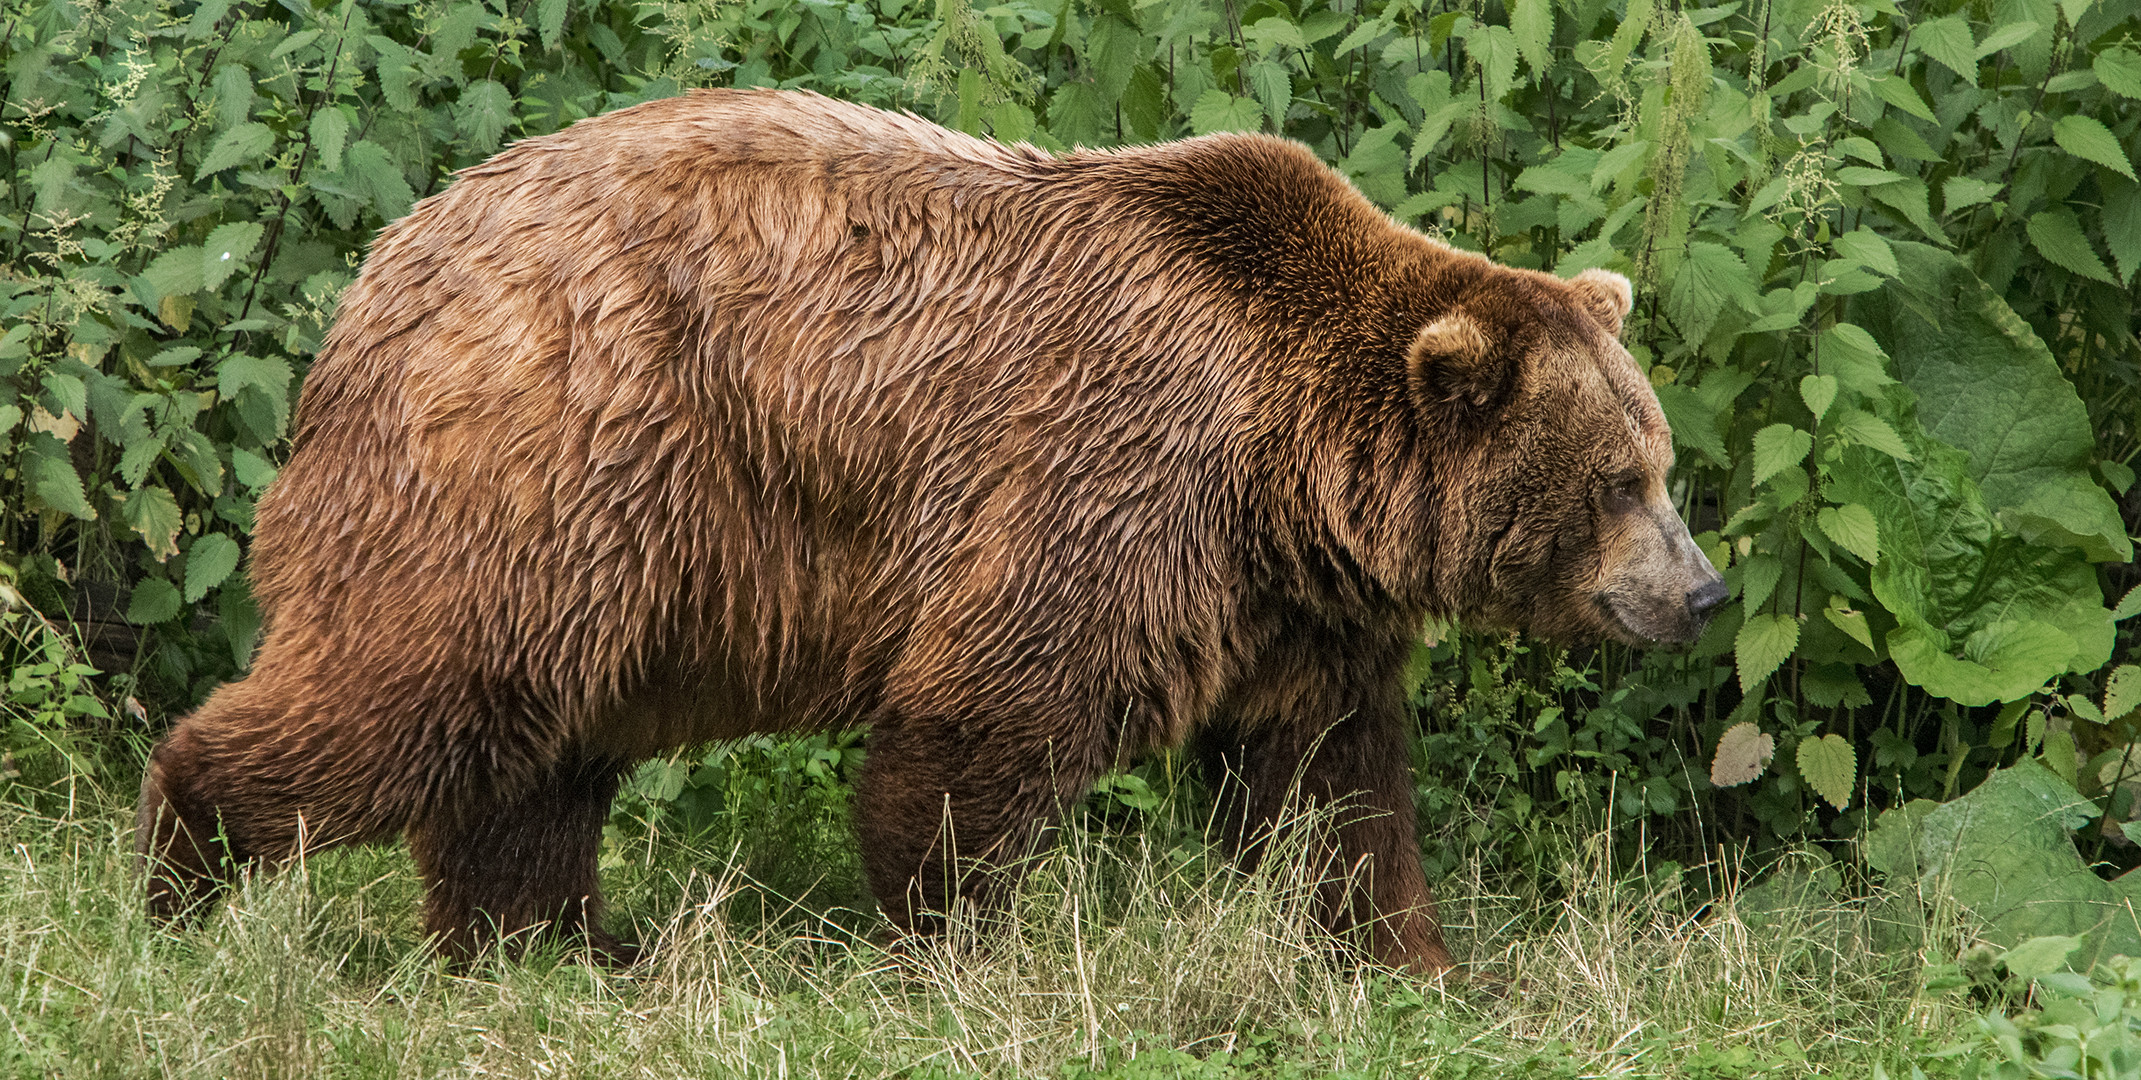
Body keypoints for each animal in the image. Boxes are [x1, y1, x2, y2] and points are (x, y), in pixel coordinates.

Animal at [133, 88, 1729, 972]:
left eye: (1661, 463)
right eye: (1616, 483)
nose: (1703, 593)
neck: (1291, 473)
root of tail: (381, 267)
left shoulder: (1290, 604)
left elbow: (1330, 792)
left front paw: (1416, 961)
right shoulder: (1119, 472)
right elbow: (983, 718)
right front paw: (952, 941)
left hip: (613, 553)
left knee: (531, 752)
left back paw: (557, 946)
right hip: (549, 464)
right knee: (417, 692)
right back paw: (185, 869)